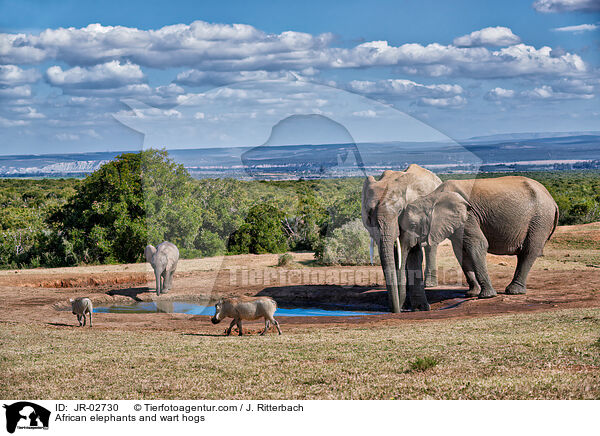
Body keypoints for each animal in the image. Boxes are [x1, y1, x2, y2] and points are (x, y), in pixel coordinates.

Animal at [360, 164, 440, 314]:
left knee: (426, 247)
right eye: (369, 214)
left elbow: (406, 248)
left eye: (399, 212)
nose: (395, 310)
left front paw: (413, 307)